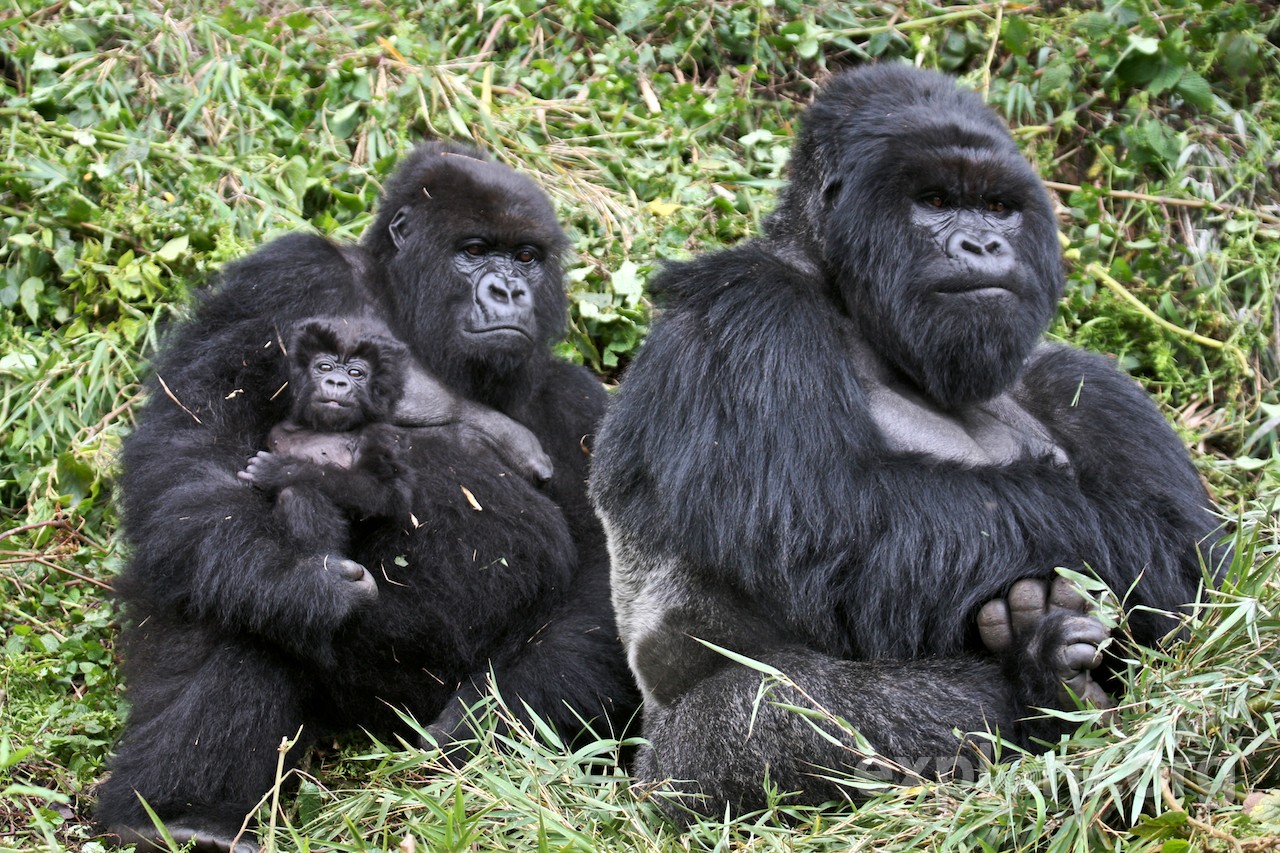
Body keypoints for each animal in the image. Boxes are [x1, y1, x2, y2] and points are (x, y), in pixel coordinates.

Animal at [97, 142, 637, 845]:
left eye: (526, 257)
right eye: (473, 250)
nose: (509, 291)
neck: (404, 310)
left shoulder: (580, 407)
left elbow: (607, 578)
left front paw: (487, 724)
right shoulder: (286, 277)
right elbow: (197, 440)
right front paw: (292, 581)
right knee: (221, 574)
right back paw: (176, 817)